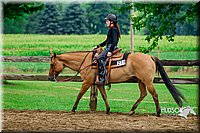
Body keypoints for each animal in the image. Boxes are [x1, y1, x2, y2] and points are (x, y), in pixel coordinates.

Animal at [48, 50, 186, 116]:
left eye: (52, 64)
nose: (49, 78)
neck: (88, 62)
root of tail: (150, 57)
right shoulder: (99, 84)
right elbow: (104, 96)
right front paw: (108, 110)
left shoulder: (87, 82)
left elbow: (79, 95)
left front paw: (73, 109)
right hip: (140, 81)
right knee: (143, 94)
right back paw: (131, 110)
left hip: (147, 81)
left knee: (154, 95)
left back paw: (158, 112)